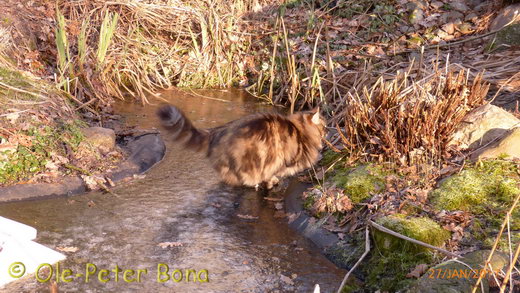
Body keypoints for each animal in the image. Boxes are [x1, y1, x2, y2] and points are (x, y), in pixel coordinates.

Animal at [156, 104, 324, 188]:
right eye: (324, 127)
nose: (326, 134)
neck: (300, 132)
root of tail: (217, 131)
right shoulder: (281, 161)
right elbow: (271, 175)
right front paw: (272, 182)